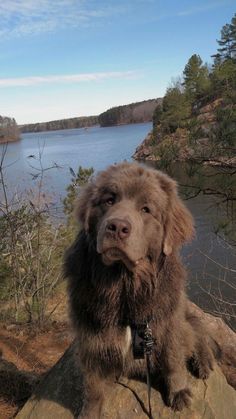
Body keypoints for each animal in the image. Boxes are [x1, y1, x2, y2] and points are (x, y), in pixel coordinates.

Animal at [64, 162, 214, 418]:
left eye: (146, 209)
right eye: (109, 200)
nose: (117, 227)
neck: (125, 286)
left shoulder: (166, 323)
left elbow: (173, 360)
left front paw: (178, 392)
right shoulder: (90, 335)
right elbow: (93, 384)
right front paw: (90, 412)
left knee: (195, 331)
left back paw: (203, 363)